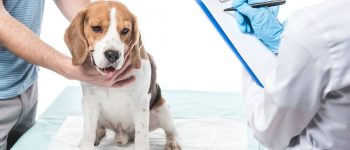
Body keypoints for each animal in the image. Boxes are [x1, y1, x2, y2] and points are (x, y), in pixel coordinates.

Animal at [64, 1, 182, 150]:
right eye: (96, 28)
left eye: (125, 31)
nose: (112, 54)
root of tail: (122, 134)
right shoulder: (90, 100)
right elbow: (88, 133)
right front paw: (88, 141)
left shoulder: (140, 102)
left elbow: (142, 137)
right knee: (99, 128)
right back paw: (98, 134)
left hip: (162, 109)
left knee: (171, 130)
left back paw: (173, 142)